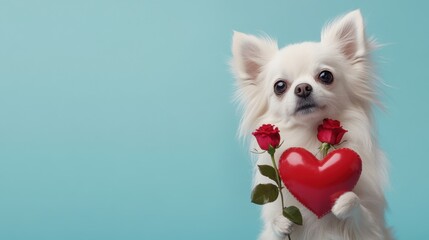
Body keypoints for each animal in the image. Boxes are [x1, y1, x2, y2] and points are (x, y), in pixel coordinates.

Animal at [231, 9, 392, 240]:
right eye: (279, 86)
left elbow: (359, 209)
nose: (303, 88)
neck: (309, 138)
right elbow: (275, 226)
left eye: (325, 76)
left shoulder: (372, 229)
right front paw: (280, 222)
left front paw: (344, 201)